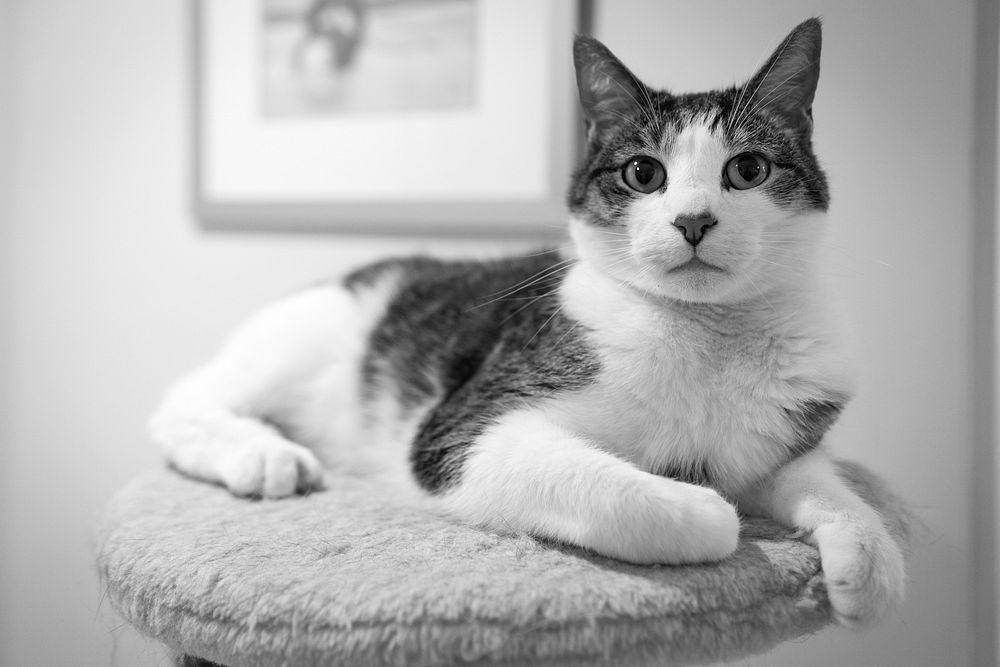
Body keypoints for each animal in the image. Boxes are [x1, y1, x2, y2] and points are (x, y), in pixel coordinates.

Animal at [154, 18, 908, 628]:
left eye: (747, 169)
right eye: (644, 173)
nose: (694, 220)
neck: (707, 336)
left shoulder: (780, 433)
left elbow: (823, 482)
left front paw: (869, 560)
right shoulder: (463, 428)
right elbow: (623, 490)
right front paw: (706, 510)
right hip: (295, 347)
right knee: (180, 403)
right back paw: (267, 455)